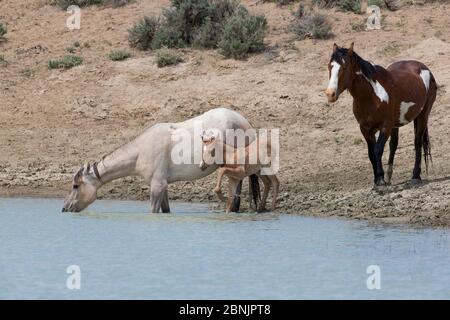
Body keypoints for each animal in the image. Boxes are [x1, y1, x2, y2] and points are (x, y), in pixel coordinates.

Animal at [62, 107, 256, 212]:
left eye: (75, 186)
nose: (65, 208)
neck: (141, 150)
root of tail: (246, 122)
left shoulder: (157, 186)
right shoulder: (163, 186)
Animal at [326, 42, 438, 188]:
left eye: (344, 67)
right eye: (330, 66)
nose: (330, 94)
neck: (373, 96)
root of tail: (424, 68)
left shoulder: (385, 127)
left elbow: (378, 150)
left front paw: (380, 181)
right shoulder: (366, 129)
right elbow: (371, 153)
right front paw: (377, 181)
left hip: (423, 115)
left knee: (417, 142)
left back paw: (415, 176)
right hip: (397, 124)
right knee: (394, 144)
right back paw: (390, 176)